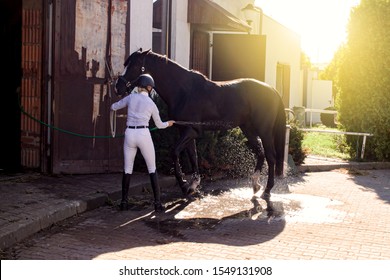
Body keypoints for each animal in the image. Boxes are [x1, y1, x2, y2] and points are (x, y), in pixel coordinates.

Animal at [116, 49, 286, 200]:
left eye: (135, 66)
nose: (118, 87)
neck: (183, 91)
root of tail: (272, 90)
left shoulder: (192, 130)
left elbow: (175, 152)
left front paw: (184, 185)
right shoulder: (186, 131)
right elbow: (193, 156)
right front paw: (193, 185)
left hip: (264, 131)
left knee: (270, 156)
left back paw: (267, 190)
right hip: (248, 129)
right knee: (260, 152)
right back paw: (256, 184)